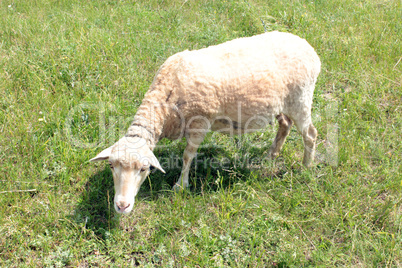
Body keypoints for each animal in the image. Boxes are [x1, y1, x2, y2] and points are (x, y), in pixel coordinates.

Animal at [90, 30, 320, 214]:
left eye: (144, 169)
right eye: (111, 165)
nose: (122, 206)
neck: (166, 97)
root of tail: (309, 48)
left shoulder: (200, 123)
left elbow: (187, 156)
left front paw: (181, 186)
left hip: (301, 98)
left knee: (310, 134)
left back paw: (306, 167)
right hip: (283, 103)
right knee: (285, 125)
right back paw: (271, 155)